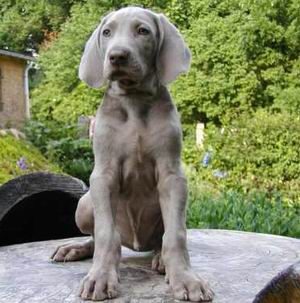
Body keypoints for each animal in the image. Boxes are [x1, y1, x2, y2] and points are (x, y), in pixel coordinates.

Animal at [52, 5, 216, 302]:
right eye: (107, 32)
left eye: (143, 31)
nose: (117, 56)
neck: (134, 100)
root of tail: (137, 245)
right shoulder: (103, 175)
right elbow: (106, 235)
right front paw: (100, 277)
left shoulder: (172, 176)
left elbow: (176, 235)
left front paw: (185, 279)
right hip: (84, 204)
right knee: (96, 236)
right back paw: (76, 249)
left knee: (162, 238)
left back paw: (160, 259)